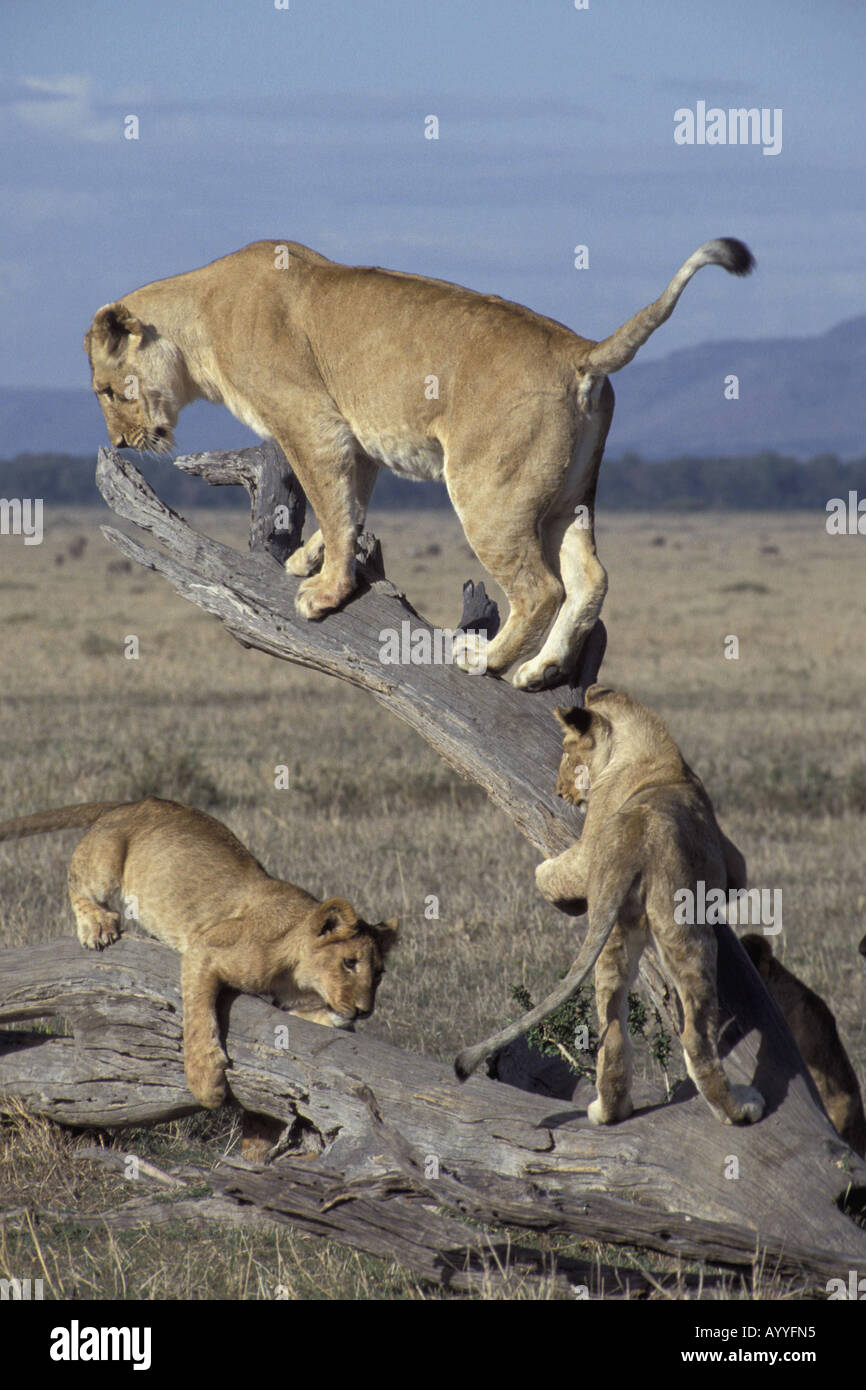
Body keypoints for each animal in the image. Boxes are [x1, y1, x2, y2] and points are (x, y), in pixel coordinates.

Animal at [0, 797, 398, 1108]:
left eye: (378, 974)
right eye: (349, 963)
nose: (364, 1011)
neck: (297, 969)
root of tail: (130, 802)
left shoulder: (288, 998)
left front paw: (337, 1020)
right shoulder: (205, 948)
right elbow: (197, 1014)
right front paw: (206, 1081)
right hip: (105, 861)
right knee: (75, 882)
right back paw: (97, 925)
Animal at [84, 236, 754, 690]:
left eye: (106, 390)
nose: (120, 443)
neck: (197, 325)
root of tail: (580, 350)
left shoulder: (312, 422)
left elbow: (329, 501)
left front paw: (324, 594)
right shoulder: (355, 437)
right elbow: (347, 507)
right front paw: (310, 559)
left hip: (487, 492)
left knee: (542, 588)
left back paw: (487, 659)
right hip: (569, 497)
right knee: (591, 577)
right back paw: (540, 671)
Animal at [455, 685, 765, 1128]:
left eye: (566, 752)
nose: (560, 792)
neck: (652, 751)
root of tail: (631, 852)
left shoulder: (590, 850)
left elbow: (546, 874)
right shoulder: (732, 861)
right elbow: (545, 873)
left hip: (614, 932)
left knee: (613, 1029)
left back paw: (608, 1111)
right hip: (685, 932)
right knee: (695, 1034)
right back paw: (739, 1110)